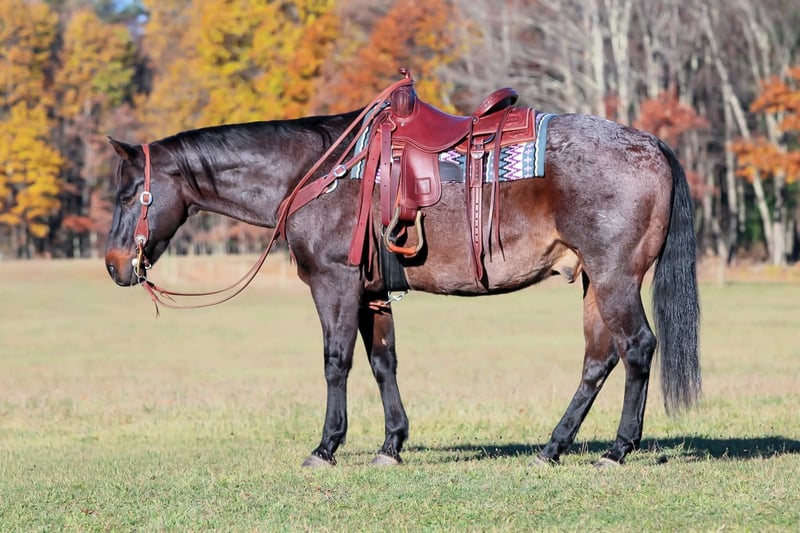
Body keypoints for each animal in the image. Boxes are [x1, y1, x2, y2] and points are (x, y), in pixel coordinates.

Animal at [104, 92, 700, 468]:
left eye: (130, 193)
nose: (113, 264)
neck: (315, 171)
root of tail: (649, 143)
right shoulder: (371, 292)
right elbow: (382, 361)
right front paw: (391, 445)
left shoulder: (336, 283)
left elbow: (337, 361)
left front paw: (326, 447)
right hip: (593, 281)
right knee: (598, 359)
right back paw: (553, 447)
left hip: (615, 277)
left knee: (637, 347)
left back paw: (617, 450)